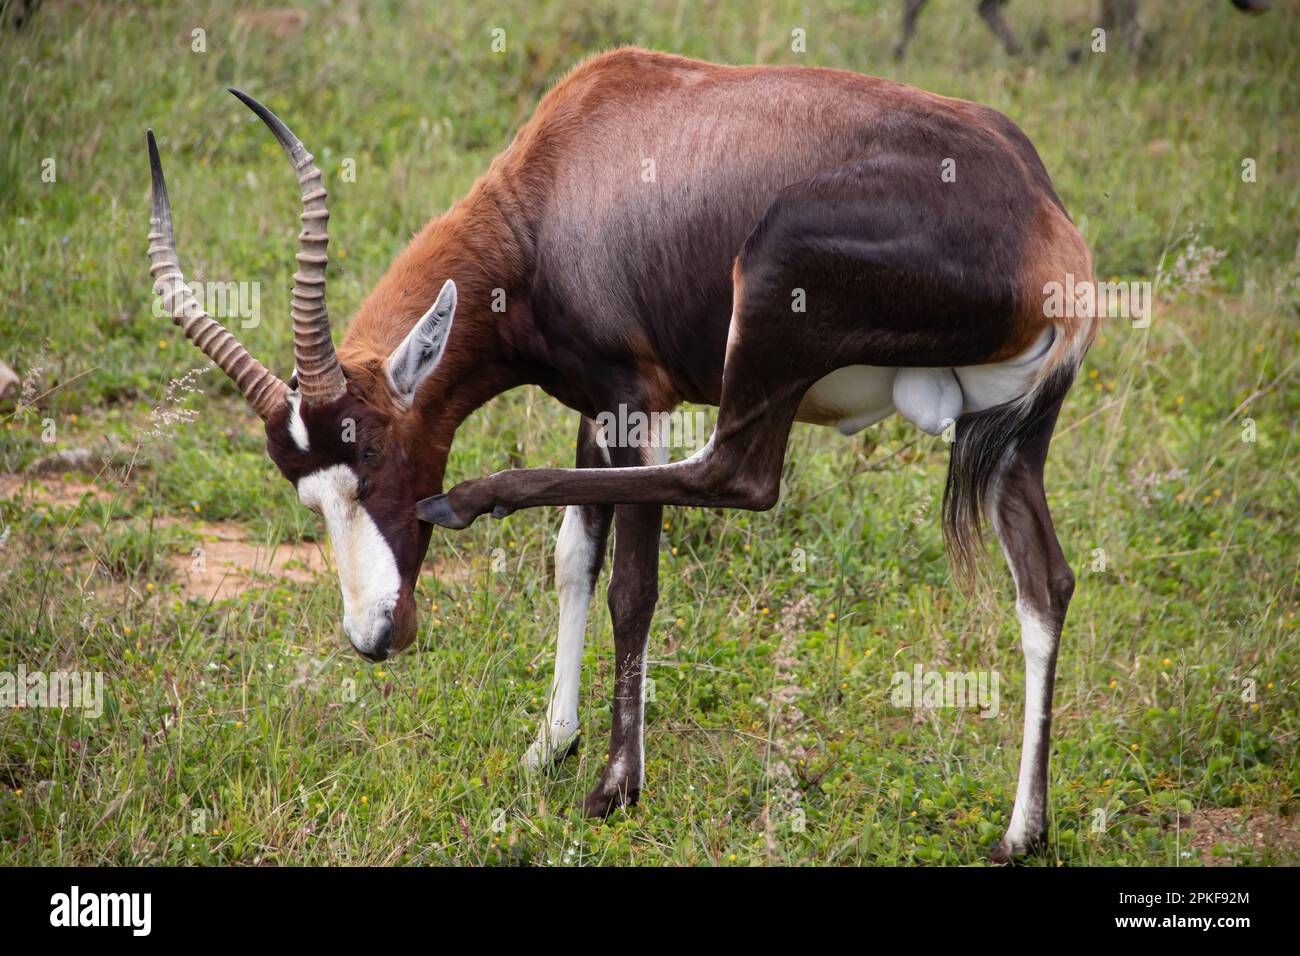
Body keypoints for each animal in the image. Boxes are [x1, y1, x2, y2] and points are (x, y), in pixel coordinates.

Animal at [147, 48, 1092, 863]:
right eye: (308, 495)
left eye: (372, 458)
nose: (375, 636)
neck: (564, 175)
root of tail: (1045, 224)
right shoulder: (591, 408)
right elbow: (576, 555)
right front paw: (548, 746)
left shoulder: (637, 399)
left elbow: (632, 585)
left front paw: (612, 786)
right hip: (1011, 441)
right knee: (1045, 583)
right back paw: (1022, 833)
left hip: (771, 307)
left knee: (738, 476)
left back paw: (471, 498)